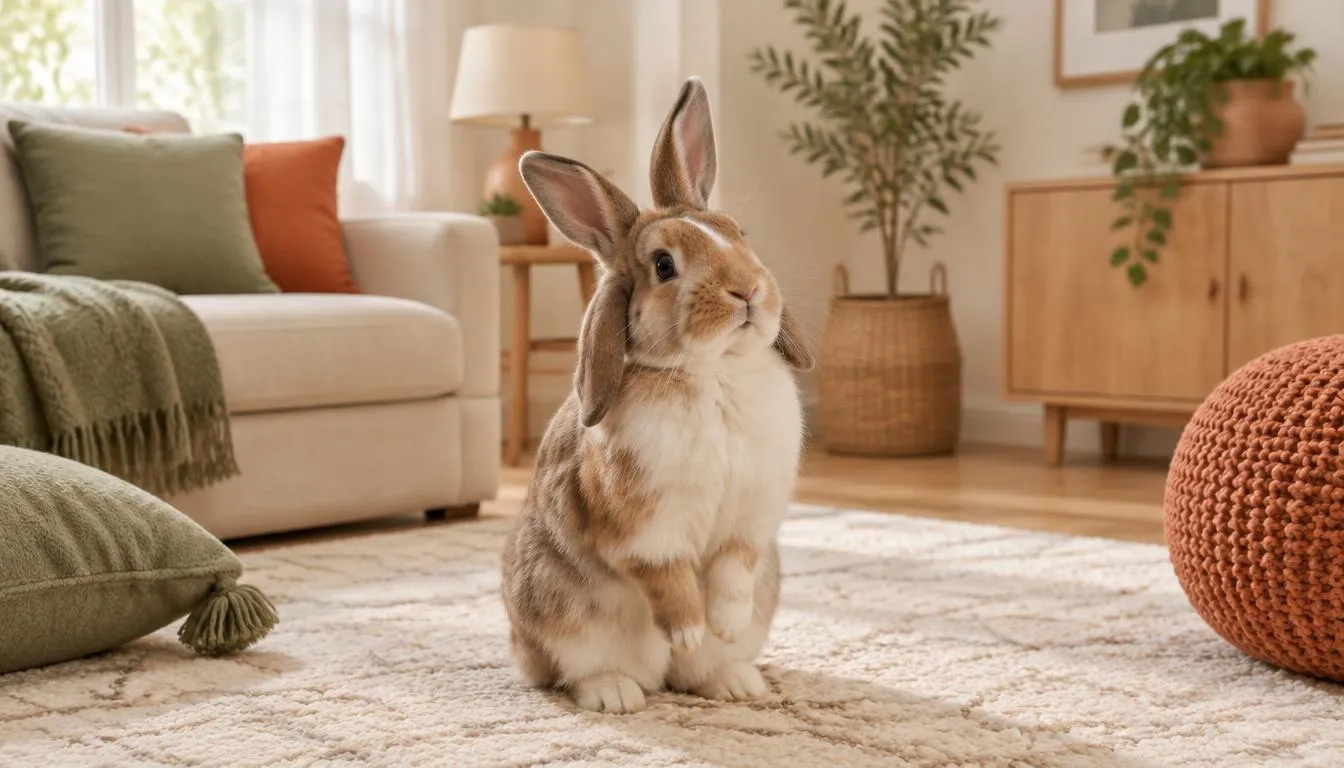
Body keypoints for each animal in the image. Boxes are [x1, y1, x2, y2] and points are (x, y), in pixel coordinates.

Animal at [499, 76, 816, 715]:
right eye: (664, 265)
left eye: (739, 234)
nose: (747, 291)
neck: (711, 372)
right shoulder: (645, 528)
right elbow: (669, 577)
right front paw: (690, 629)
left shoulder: (751, 522)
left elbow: (733, 571)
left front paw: (722, 626)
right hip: (559, 611)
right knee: (580, 671)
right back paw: (619, 694)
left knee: (695, 672)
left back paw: (734, 679)